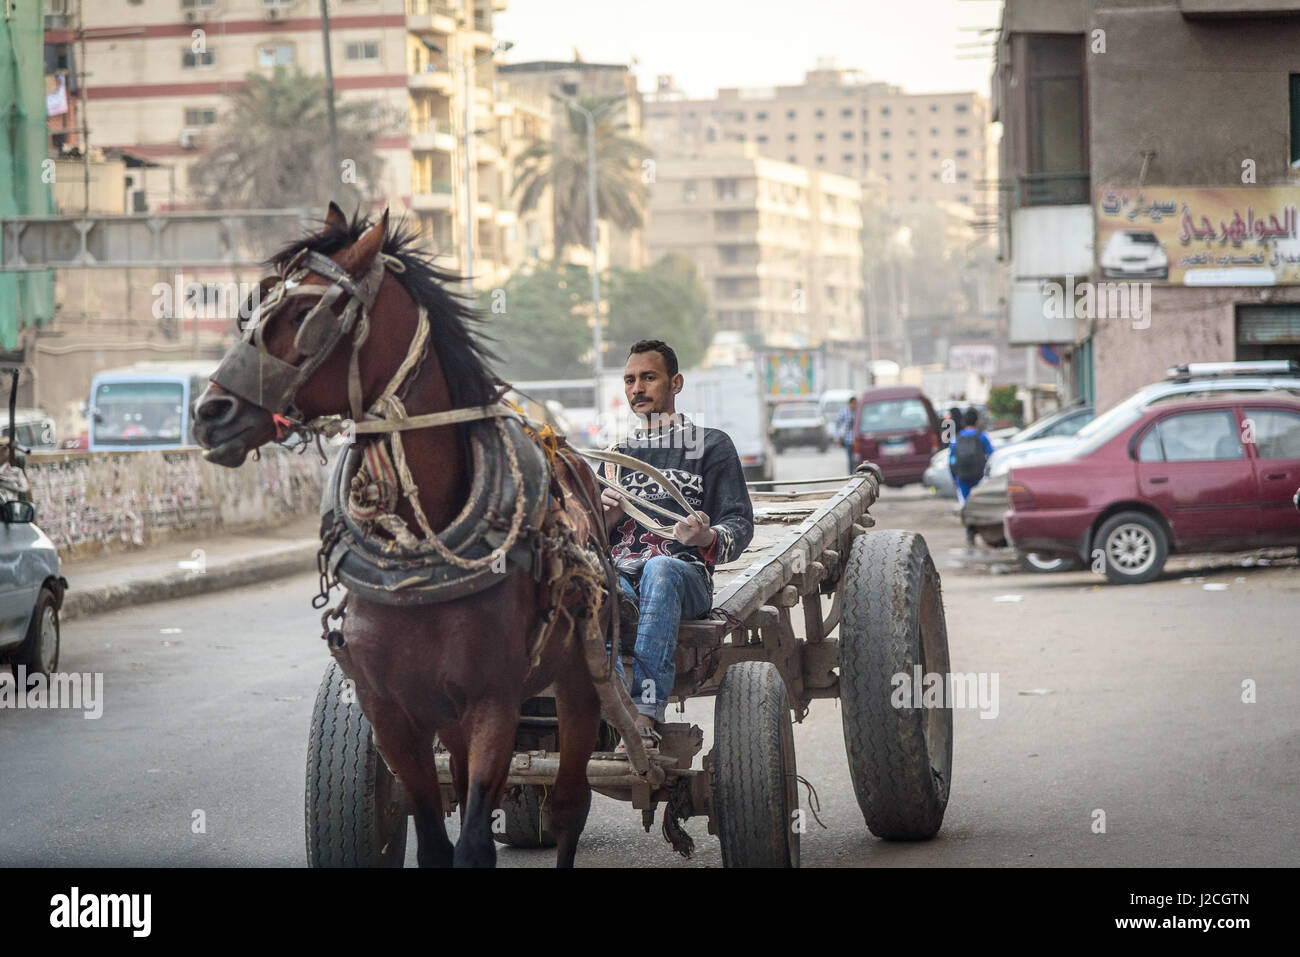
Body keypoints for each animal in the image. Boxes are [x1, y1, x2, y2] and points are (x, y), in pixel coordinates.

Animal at [195, 204, 637, 868]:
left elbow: (474, 843)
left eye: (304, 315)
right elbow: (432, 840)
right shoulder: (391, 710)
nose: (208, 413)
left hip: (581, 679)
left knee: (569, 805)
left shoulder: (494, 703)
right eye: (255, 306)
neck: (425, 557)